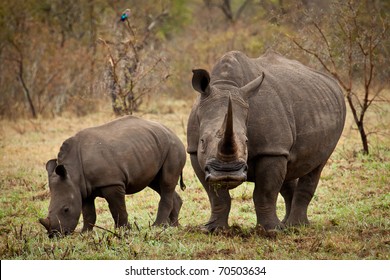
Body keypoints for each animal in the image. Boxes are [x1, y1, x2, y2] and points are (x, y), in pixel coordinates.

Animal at [39, 115, 186, 237]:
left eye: (66, 209)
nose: (54, 234)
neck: (73, 172)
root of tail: (173, 133)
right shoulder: (83, 188)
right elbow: (88, 212)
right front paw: (85, 233)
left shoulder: (112, 183)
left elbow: (118, 208)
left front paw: (124, 231)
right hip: (155, 146)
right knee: (158, 184)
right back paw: (174, 226)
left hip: (173, 148)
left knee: (166, 183)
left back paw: (157, 227)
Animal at [187, 50, 346, 232]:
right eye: (202, 141)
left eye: (247, 141)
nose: (227, 173)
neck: (226, 84)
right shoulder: (194, 152)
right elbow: (216, 196)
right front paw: (214, 230)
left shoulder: (271, 150)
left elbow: (265, 192)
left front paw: (270, 231)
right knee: (289, 170)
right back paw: (286, 225)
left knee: (316, 165)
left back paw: (296, 226)